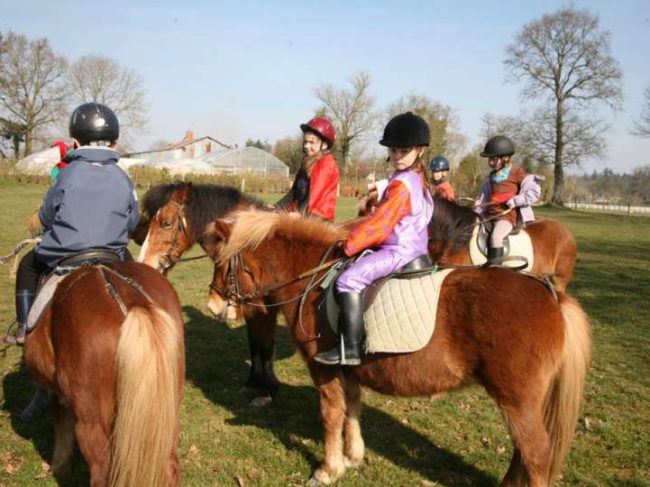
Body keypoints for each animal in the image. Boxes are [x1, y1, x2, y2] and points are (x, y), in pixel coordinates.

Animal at [24, 264, 184, 487]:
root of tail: (133, 302)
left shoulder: (58, 393)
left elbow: (60, 422)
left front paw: (59, 467)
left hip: (92, 425)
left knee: (101, 474)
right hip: (168, 416)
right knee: (170, 467)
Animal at [137, 181, 278, 402]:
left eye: (166, 223)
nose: (145, 264)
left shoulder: (267, 310)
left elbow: (265, 346)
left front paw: (267, 391)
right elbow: (254, 343)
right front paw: (253, 383)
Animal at [205, 213, 588, 487]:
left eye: (222, 263)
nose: (212, 306)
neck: (314, 281)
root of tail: (551, 295)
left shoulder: (324, 368)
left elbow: (331, 415)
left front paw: (328, 469)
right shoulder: (349, 367)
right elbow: (352, 408)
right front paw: (353, 457)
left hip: (518, 401)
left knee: (536, 453)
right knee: (524, 452)